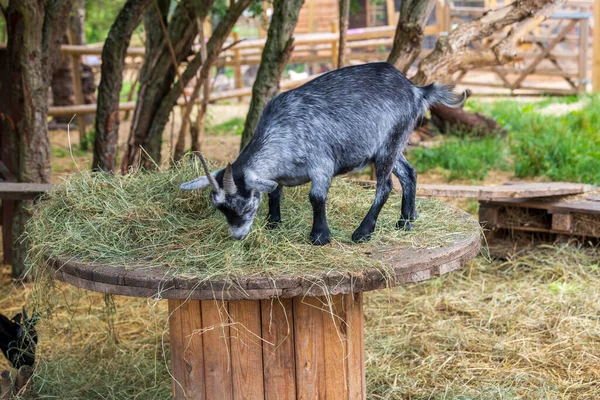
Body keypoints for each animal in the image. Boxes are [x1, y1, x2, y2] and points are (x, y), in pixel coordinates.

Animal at [180, 62, 466, 244]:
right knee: (409, 173)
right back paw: (406, 222)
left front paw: (319, 236)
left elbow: (316, 197)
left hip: (390, 143)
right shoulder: (276, 176)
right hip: (389, 146)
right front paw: (273, 223)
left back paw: (363, 233)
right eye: (220, 208)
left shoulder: (321, 164)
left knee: (385, 187)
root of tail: (416, 90)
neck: (283, 129)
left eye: (246, 205)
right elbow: (275, 192)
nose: (238, 236)